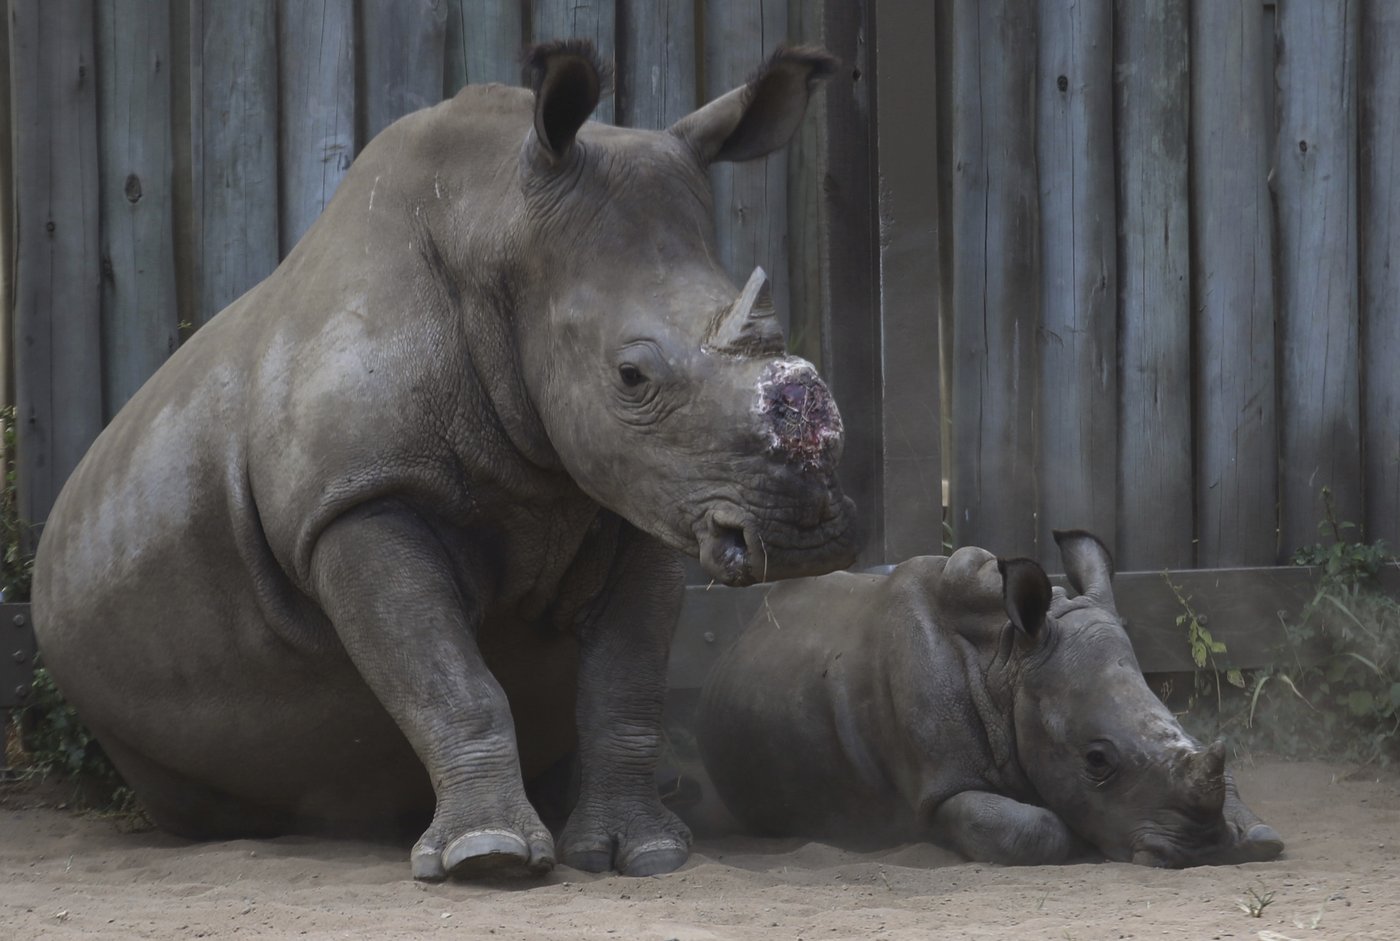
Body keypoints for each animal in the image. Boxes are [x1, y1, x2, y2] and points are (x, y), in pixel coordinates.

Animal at [31, 41, 856, 881]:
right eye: (632, 376)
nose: (808, 534)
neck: (496, 232)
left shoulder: (652, 491)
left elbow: (625, 685)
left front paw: (646, 852)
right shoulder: (358, 497)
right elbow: (448, 677)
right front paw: (486, 857)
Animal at [697, 531, 1284, 867]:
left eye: (1183, 723)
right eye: (1096, 760)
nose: (1206, 852)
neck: (1007, 663)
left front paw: (1257, 836)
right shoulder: (939, 791)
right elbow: (1032, 827)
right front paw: (1077, 843)